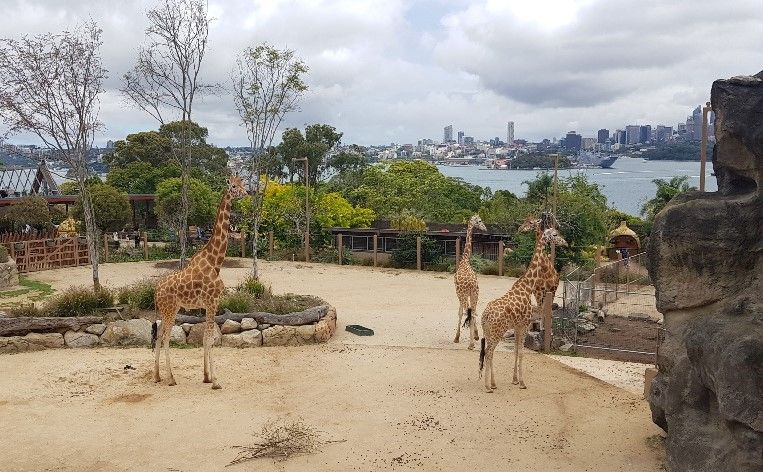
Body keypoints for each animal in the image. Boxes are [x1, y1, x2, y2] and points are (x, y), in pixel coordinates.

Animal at [154, 175, 249, 390]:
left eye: (243, 184)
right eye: (233, 186)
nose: (247, 194)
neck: (215, 262)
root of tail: (155, 292)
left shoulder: (207, 305)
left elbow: (206, 338)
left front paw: (206, 376)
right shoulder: (213, 301)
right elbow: (210, 338)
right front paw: (215, 381)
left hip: (166, 310)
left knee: (158, 336)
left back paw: (157, 376)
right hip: (170, 310)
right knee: (165, 338)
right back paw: (171, 378)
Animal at [454, 214, 490, 346]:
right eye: (479, 221)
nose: (485, 228)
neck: (464, 261)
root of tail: (470, 283)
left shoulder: (459, 293)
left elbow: (460, 313)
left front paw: (457, 337)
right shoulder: (470, 294)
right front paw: (475, 335)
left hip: (465, 294)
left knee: (468, 312)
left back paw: (470, 344)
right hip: (475, 293)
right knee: (473, 312)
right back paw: (474, 339)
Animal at [478, 225, 568, 390]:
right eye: (554, 234)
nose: (564, 243)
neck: (527, 285)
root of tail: (485, 316)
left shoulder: (518, 326)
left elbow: (515, 350)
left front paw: (514, 380)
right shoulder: (525, 324)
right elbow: (521, 352)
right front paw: (522, 383)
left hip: (487, 331)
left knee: (488, 352)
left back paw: (493, 383)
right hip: (497, 331)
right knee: (489, 352)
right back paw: (488, 386)